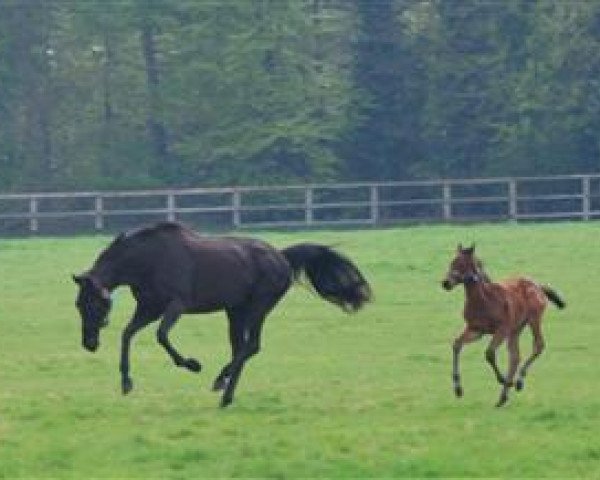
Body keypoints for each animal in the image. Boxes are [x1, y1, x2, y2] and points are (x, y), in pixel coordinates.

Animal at [73, 221, 372, 404]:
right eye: (78, 305)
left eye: (93, 304)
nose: (89, 343)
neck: (147, 260)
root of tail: (282, 257)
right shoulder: (149, 307)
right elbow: (127, 334)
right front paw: (126, 382)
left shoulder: (176, 305)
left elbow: (161, 336)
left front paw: (192, 364)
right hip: (235, 311)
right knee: (240, 348)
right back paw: (225, 391)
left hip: (258, 307)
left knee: (252, 346)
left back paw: (222, 386)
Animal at [440, 246, 564, 406]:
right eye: (452, 262)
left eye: (462, 264)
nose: (446, 283)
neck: (484, 300)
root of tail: (538, 286)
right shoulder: (475, 330)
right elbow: (456, 345)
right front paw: (458, 389)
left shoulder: (502, 329)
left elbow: (489, 353)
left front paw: (503, 379)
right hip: (516, 329)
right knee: (515, 356)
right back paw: (503, 397)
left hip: (533, 319)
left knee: (538, 345)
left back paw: (518, 382)